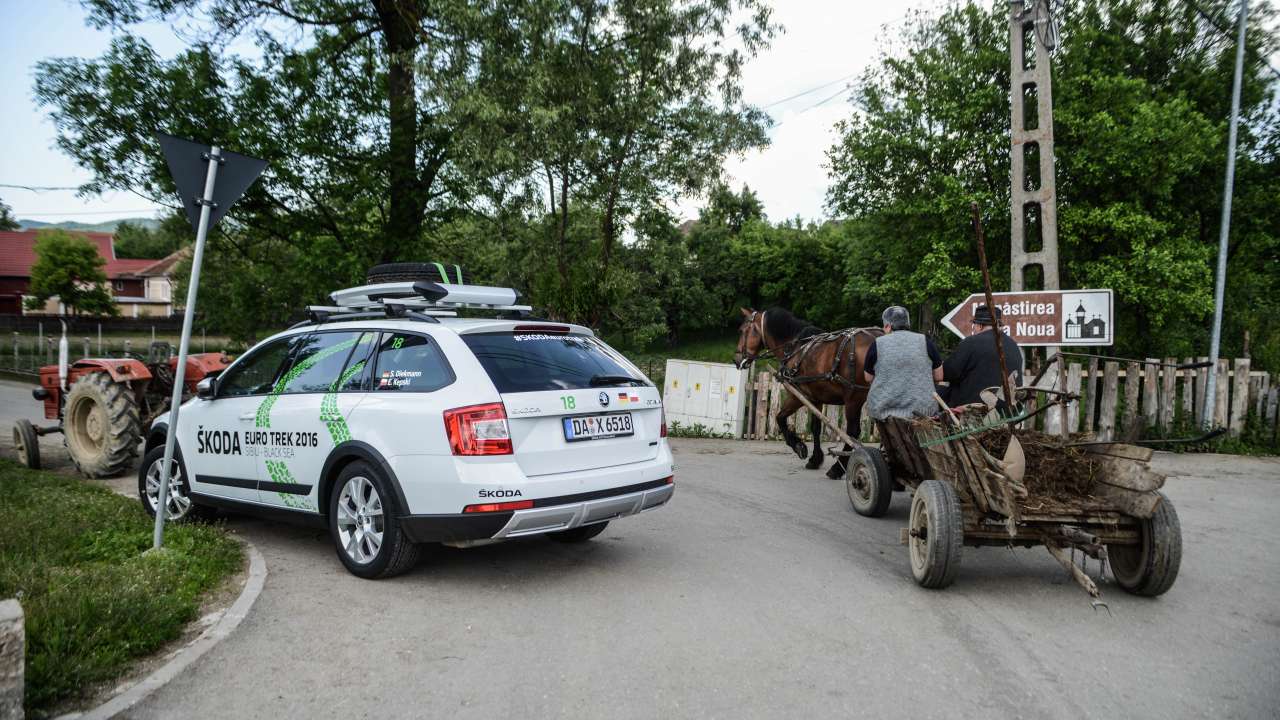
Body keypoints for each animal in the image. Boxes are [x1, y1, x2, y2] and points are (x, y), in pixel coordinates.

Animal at [737, 304, 885, 474]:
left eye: (742, 330)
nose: (736, 359)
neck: (796, 347)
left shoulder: (799, 395)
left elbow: (780, 417)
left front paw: (799, 446)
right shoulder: (816, 399)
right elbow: (815, 427)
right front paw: (815, 459)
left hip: (853, 399)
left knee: (853, 432)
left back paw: (837, 468)